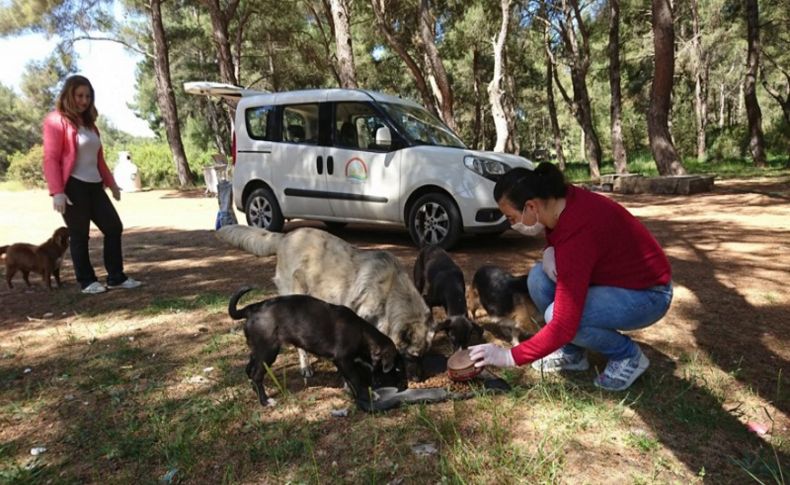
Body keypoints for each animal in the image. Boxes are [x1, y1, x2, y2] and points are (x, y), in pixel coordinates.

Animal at [215, 225, 434, 380]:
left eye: (424, 356)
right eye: (412, 356)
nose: (420, 379)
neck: (391, 291)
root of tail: (285, 237)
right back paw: (306, 366)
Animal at [226, 286, 406, 406]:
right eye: (396, 369)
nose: (403, 387)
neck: (363, 334)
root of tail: (251, 309)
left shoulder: (340, 362)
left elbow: (348, 378)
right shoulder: (343, 359)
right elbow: (355, 378)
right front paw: (368, 395)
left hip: (257, 350)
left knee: (249, 369)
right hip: (267, 351)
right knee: (256, 374)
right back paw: (265, 401)